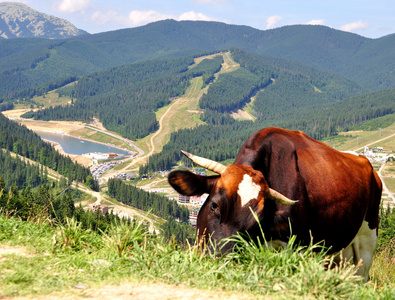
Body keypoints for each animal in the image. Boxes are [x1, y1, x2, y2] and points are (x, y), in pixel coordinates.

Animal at [169, 126, 382, 278]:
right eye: (214, 206)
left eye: (253, 225)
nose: (219, 260)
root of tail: (365, 162)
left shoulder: (292, 246)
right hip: (338, 249)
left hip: (368, 239)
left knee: (362, 274)